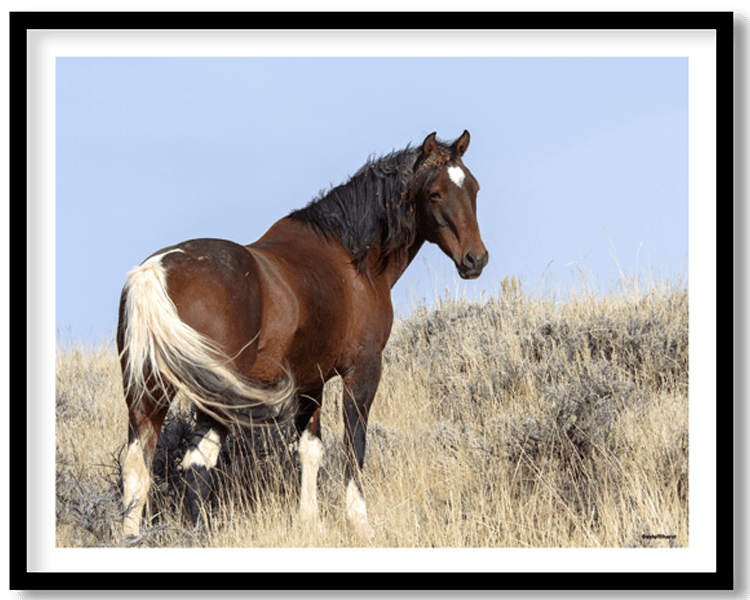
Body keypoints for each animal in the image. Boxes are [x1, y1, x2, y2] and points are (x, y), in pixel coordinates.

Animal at [116, 130, 489, 540]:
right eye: (435, 193)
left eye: (474, 188)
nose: (476, 259)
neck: (351, 258)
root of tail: (154, 272)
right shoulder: (363, 371)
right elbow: (354, 444)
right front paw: (359, 521)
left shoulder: (311, 382)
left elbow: (311, 450)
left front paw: (309, 521)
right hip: (212, 399)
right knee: (198, 462)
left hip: (149, 392)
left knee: (137, 464)